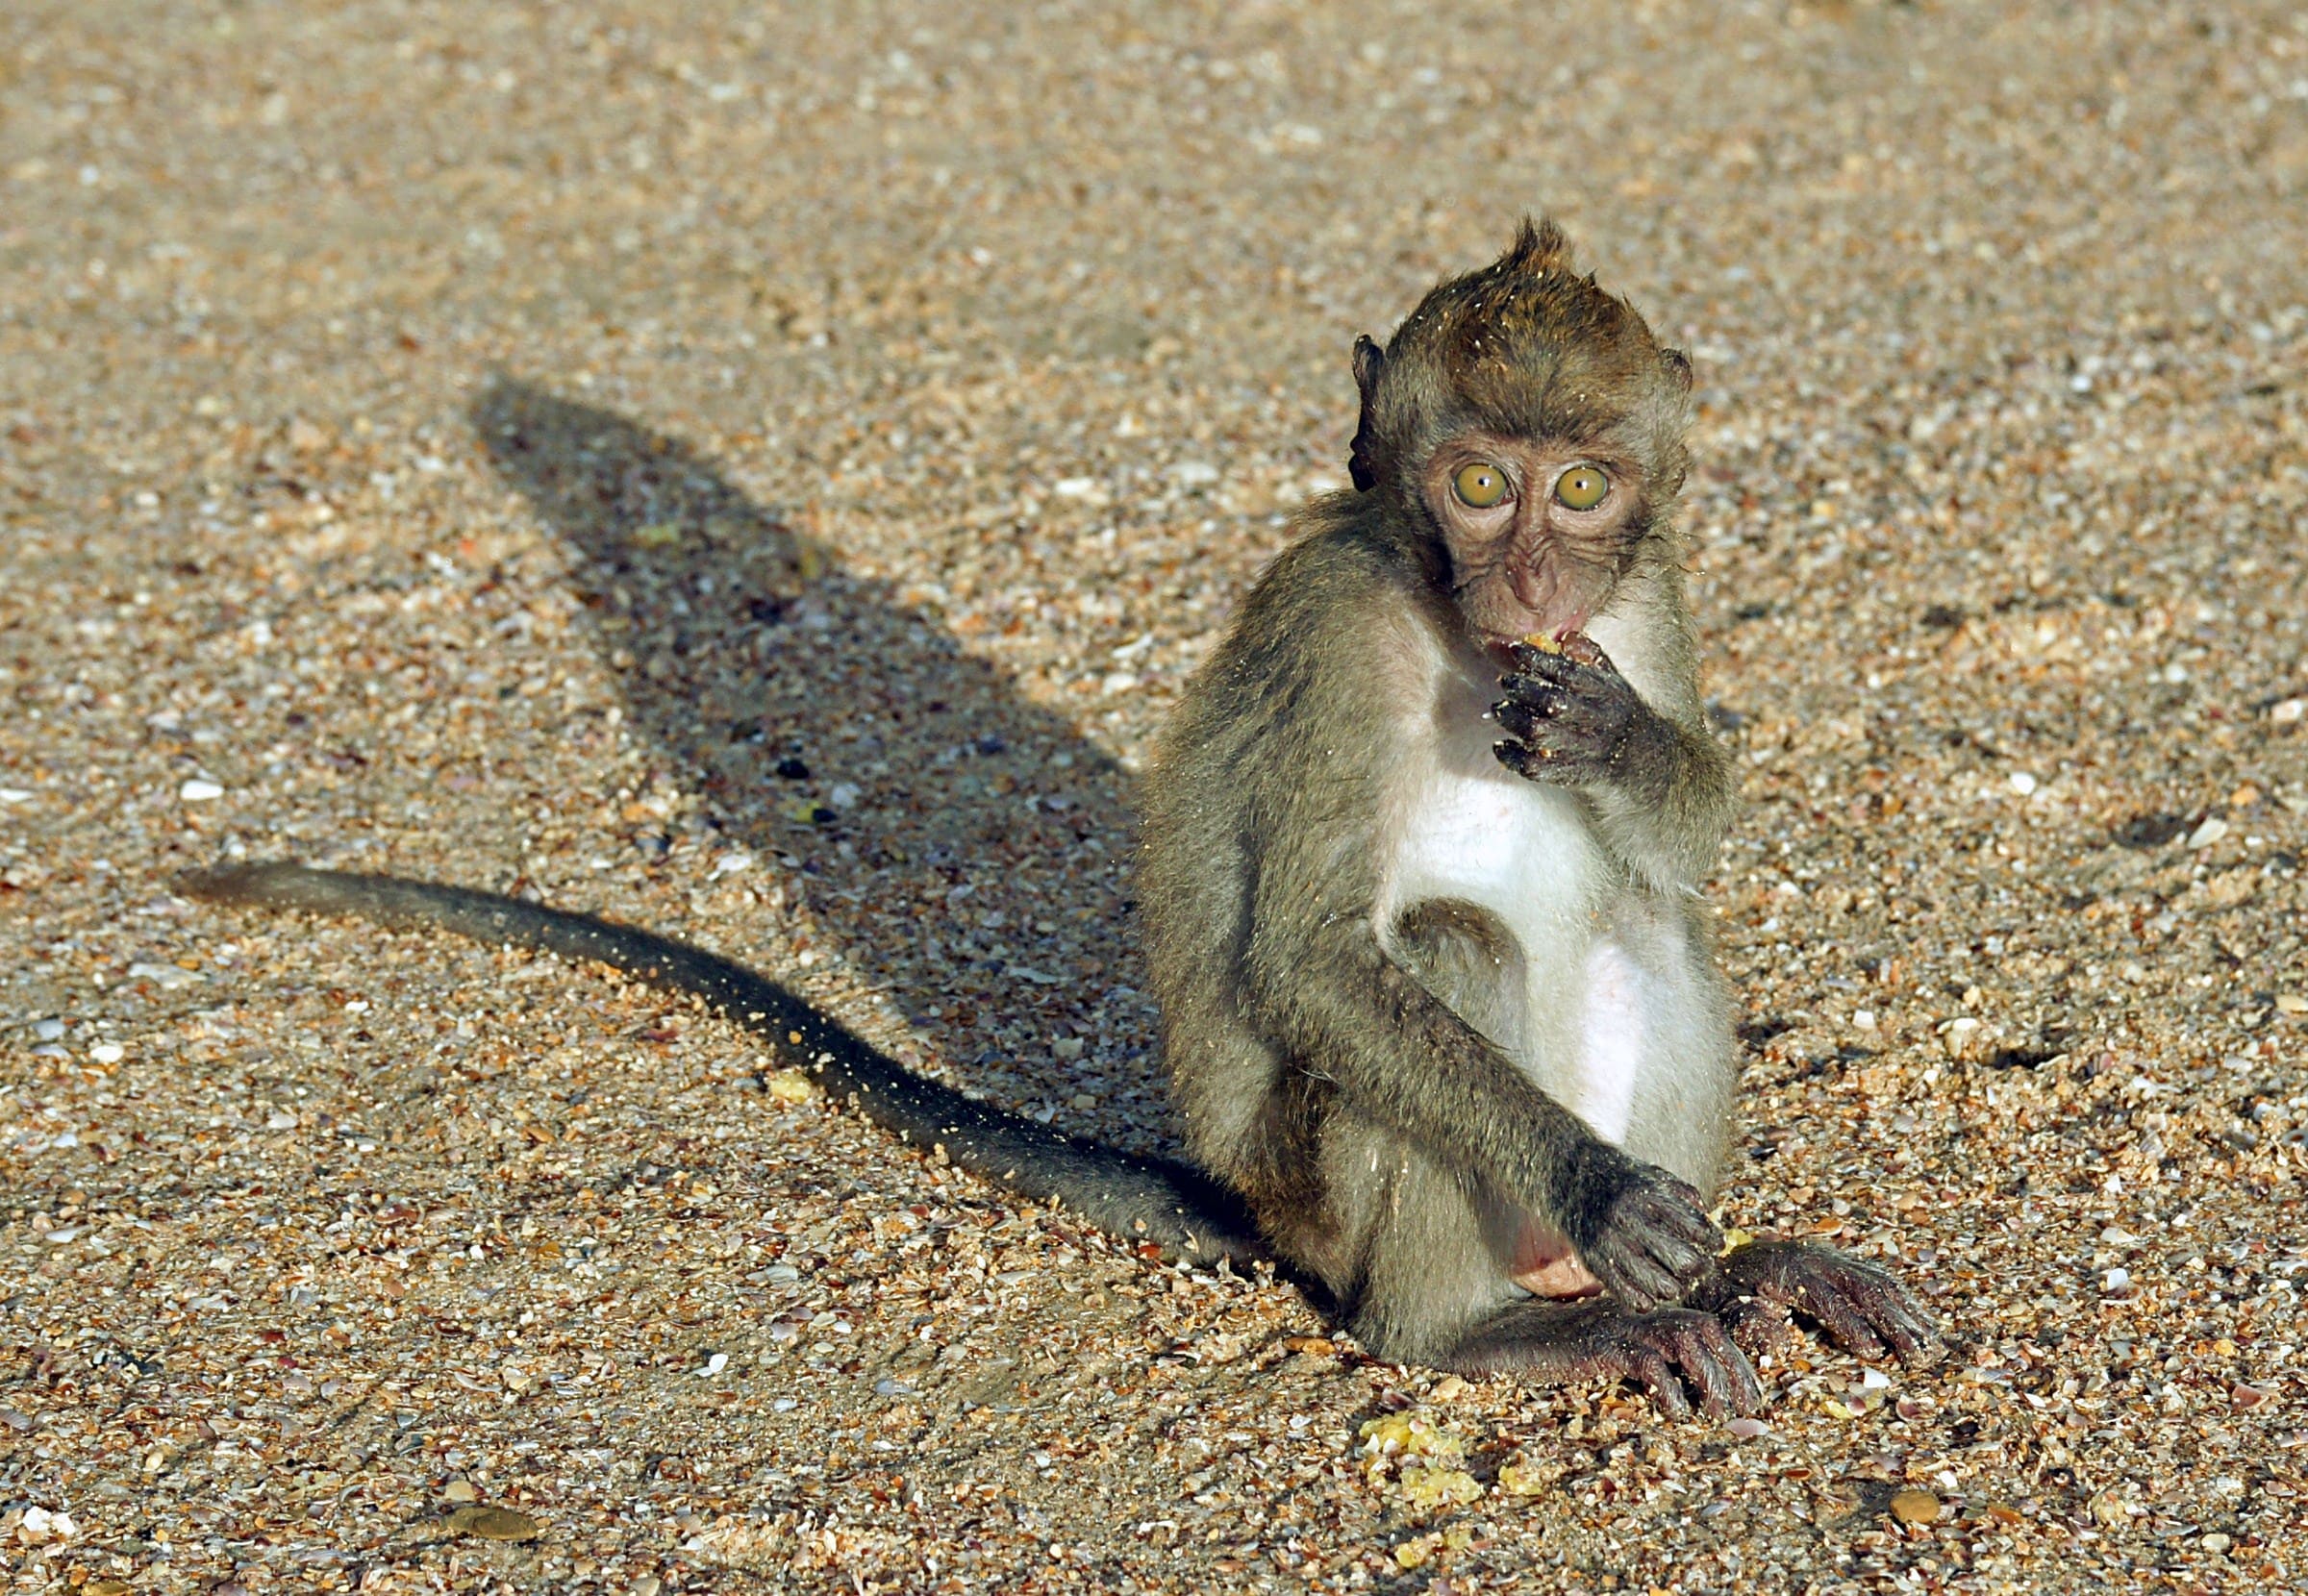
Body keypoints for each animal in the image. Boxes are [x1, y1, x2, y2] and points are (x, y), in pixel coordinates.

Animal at [180, 219, 1937, 1418]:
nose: (1526, 579)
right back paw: (1498, 1327)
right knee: (1443, 951)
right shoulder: (1336, 635)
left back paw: (1747, 1266)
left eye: (1577, 488)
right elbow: (1308, 959)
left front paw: (1613, 736)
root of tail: (1263, 1215)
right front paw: (1601, 1189)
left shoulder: (1643, 595)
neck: (1457, 629)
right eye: (1478, 486)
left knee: (1654, 922)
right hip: (1326, 1203)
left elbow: (1687, 836)